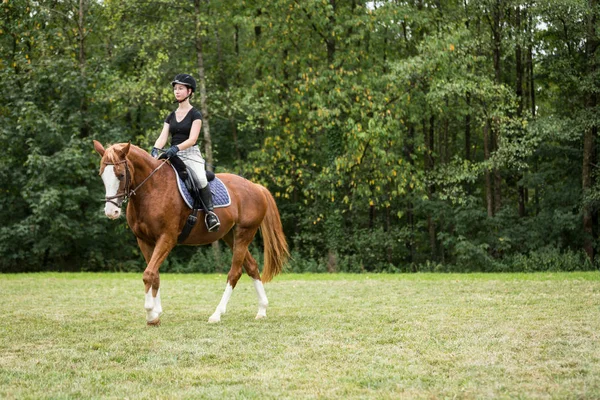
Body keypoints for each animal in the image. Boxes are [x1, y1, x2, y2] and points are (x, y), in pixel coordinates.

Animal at [92, 141, 290, 324]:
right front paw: (156, 313)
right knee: (252, 266)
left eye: (121, 175)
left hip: (244, 233)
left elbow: (149, 274)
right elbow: (154, 274)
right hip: (229, 236)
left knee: (235, 273)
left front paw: (150, 314)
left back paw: (217, 314)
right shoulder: (144, 240)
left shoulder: (167, 238)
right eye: (102, 175)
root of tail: (256, 187)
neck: (152, 189)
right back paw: (262, 309)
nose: (111, 212)